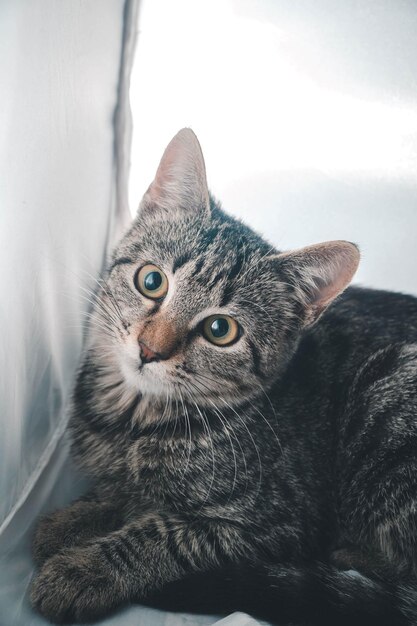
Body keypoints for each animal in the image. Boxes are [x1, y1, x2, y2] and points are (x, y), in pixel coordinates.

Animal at [30, 128, 416, 624]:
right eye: (151, 281)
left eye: (220, 330)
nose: (149, 349)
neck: (131, 421)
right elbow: (120, 492)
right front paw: (74, 517)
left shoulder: (276, 523)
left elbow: (165, 534)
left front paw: (83, 570)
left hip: (388, 386)